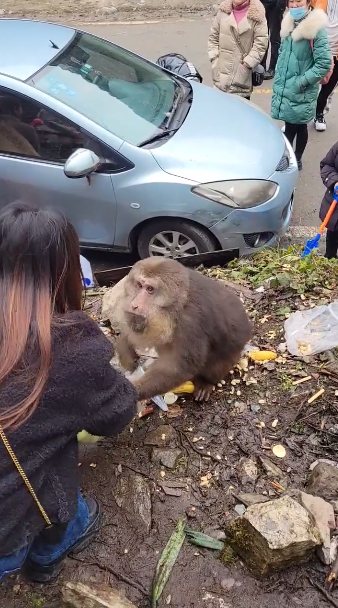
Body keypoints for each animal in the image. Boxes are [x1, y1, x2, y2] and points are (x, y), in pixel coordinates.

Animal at [116, 256, 251, 404]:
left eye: (150, 289)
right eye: (139, 285)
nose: (134, 305)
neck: (177, 305)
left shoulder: (189, 324)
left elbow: (177, 368)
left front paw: (129, 393)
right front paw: (125, 351)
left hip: (232, 355)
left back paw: (206, 382)